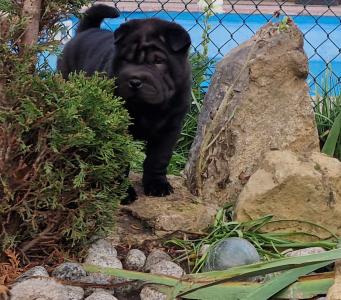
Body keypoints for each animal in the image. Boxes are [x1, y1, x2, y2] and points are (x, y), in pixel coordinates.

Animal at [58, 4, 191, 204]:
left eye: (158, 61)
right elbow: (120, 160)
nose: (135, 81)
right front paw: (123, 192)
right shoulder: (118, 128)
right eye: (126, 59)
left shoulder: (170, 127)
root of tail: (86, 31)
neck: (148, 109)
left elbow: (159, 158)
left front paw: (157, 185)